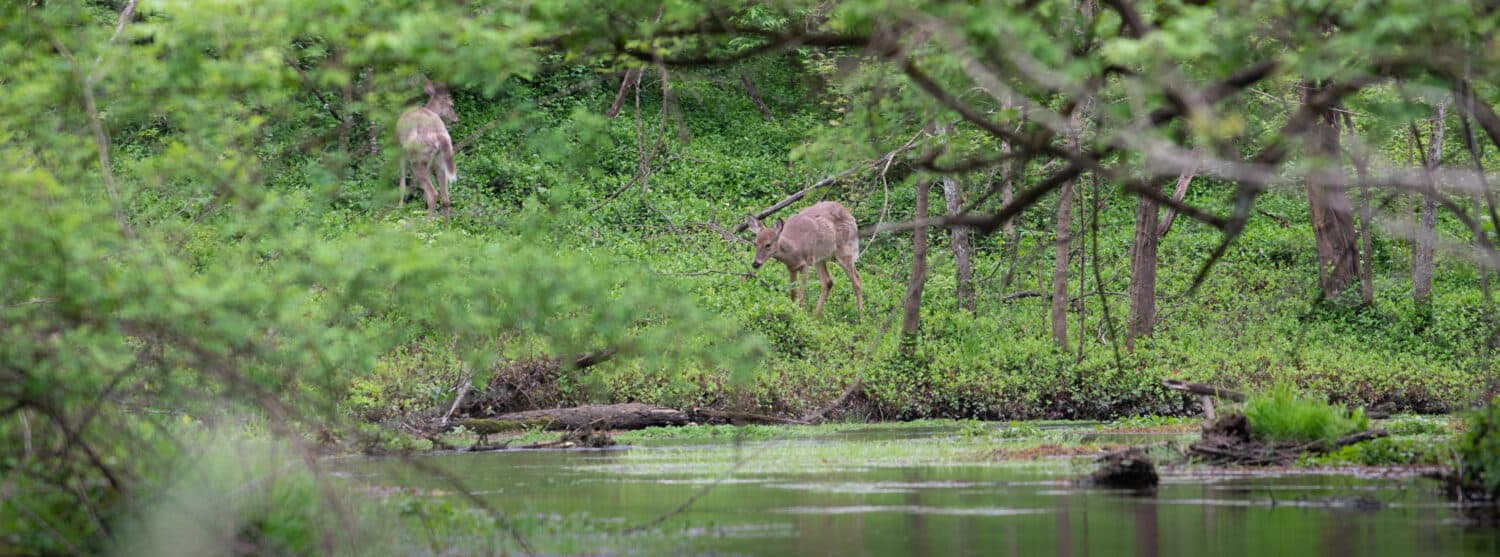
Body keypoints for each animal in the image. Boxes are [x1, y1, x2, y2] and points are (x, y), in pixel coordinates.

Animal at [399, 78, 456, 222]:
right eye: (451, 105)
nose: (456, 119)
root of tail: (441, 137)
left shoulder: (400, 151)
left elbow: (402, 182)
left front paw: (399, 207)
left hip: (417, 158)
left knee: (433, 193)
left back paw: (427, 223)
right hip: (440, 161)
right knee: (445, 198)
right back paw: (447, 225)